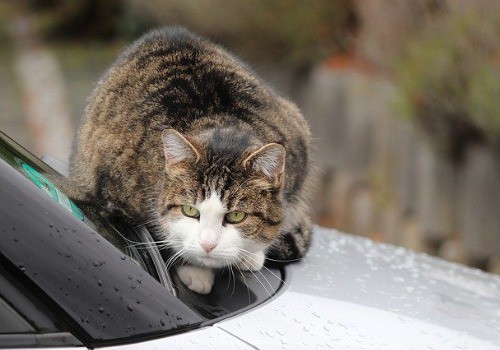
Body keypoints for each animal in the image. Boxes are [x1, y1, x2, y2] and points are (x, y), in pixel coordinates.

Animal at [69, 26, 312, 292]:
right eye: (189, 211)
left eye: (236, 216)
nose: (208, 245)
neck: (220, 123)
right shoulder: (109, 193)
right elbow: (156, 236)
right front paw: (195, 270)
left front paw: (251, 254)